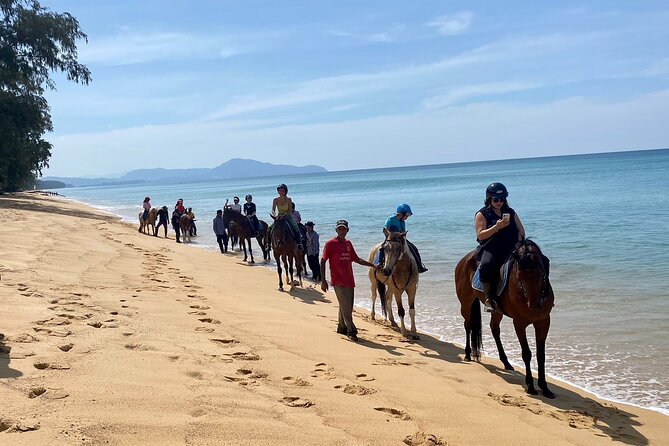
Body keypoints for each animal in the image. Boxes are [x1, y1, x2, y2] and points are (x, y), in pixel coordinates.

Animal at [454, 239, 552, 398]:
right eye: (519, 274)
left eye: (540, 272)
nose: (533, 305)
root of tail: (464, 259)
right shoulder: (519, 323)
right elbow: (526, 354)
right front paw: (531, 386)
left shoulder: (543, 322)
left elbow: (541, 355)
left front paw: (545, 387)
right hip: (466, 303)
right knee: (468, 325)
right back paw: (468, 354)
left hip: (497, 311)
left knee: (494, 329)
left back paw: (506, 362)